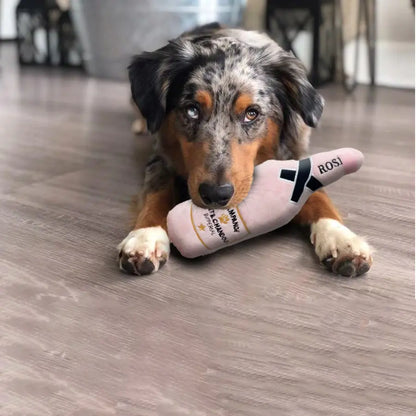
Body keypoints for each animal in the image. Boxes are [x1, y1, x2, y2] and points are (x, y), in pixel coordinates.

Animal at [118, 22, 374, 276]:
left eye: (252, 113)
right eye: (192, 110)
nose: (215, 194)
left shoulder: (297, 155)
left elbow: (318, 195)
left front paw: (340, 237)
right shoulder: (160, 158)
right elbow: (157, 192)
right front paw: (146, 235)